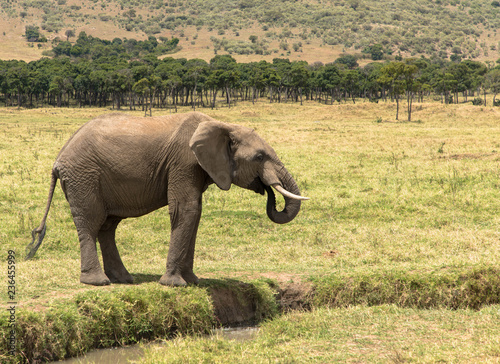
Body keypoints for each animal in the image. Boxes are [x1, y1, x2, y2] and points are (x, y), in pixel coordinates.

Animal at [27, 111, 308, 288]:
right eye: (259, 157)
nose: (268, 191)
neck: (223, 124)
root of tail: (58, 160)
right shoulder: (184, 162)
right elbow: (186, 210)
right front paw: (174, 284)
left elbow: (195, 213)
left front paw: (193, 281)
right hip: (83, 177)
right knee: (91, 222)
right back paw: (98, 282)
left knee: (108, 226)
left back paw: (123, 279)